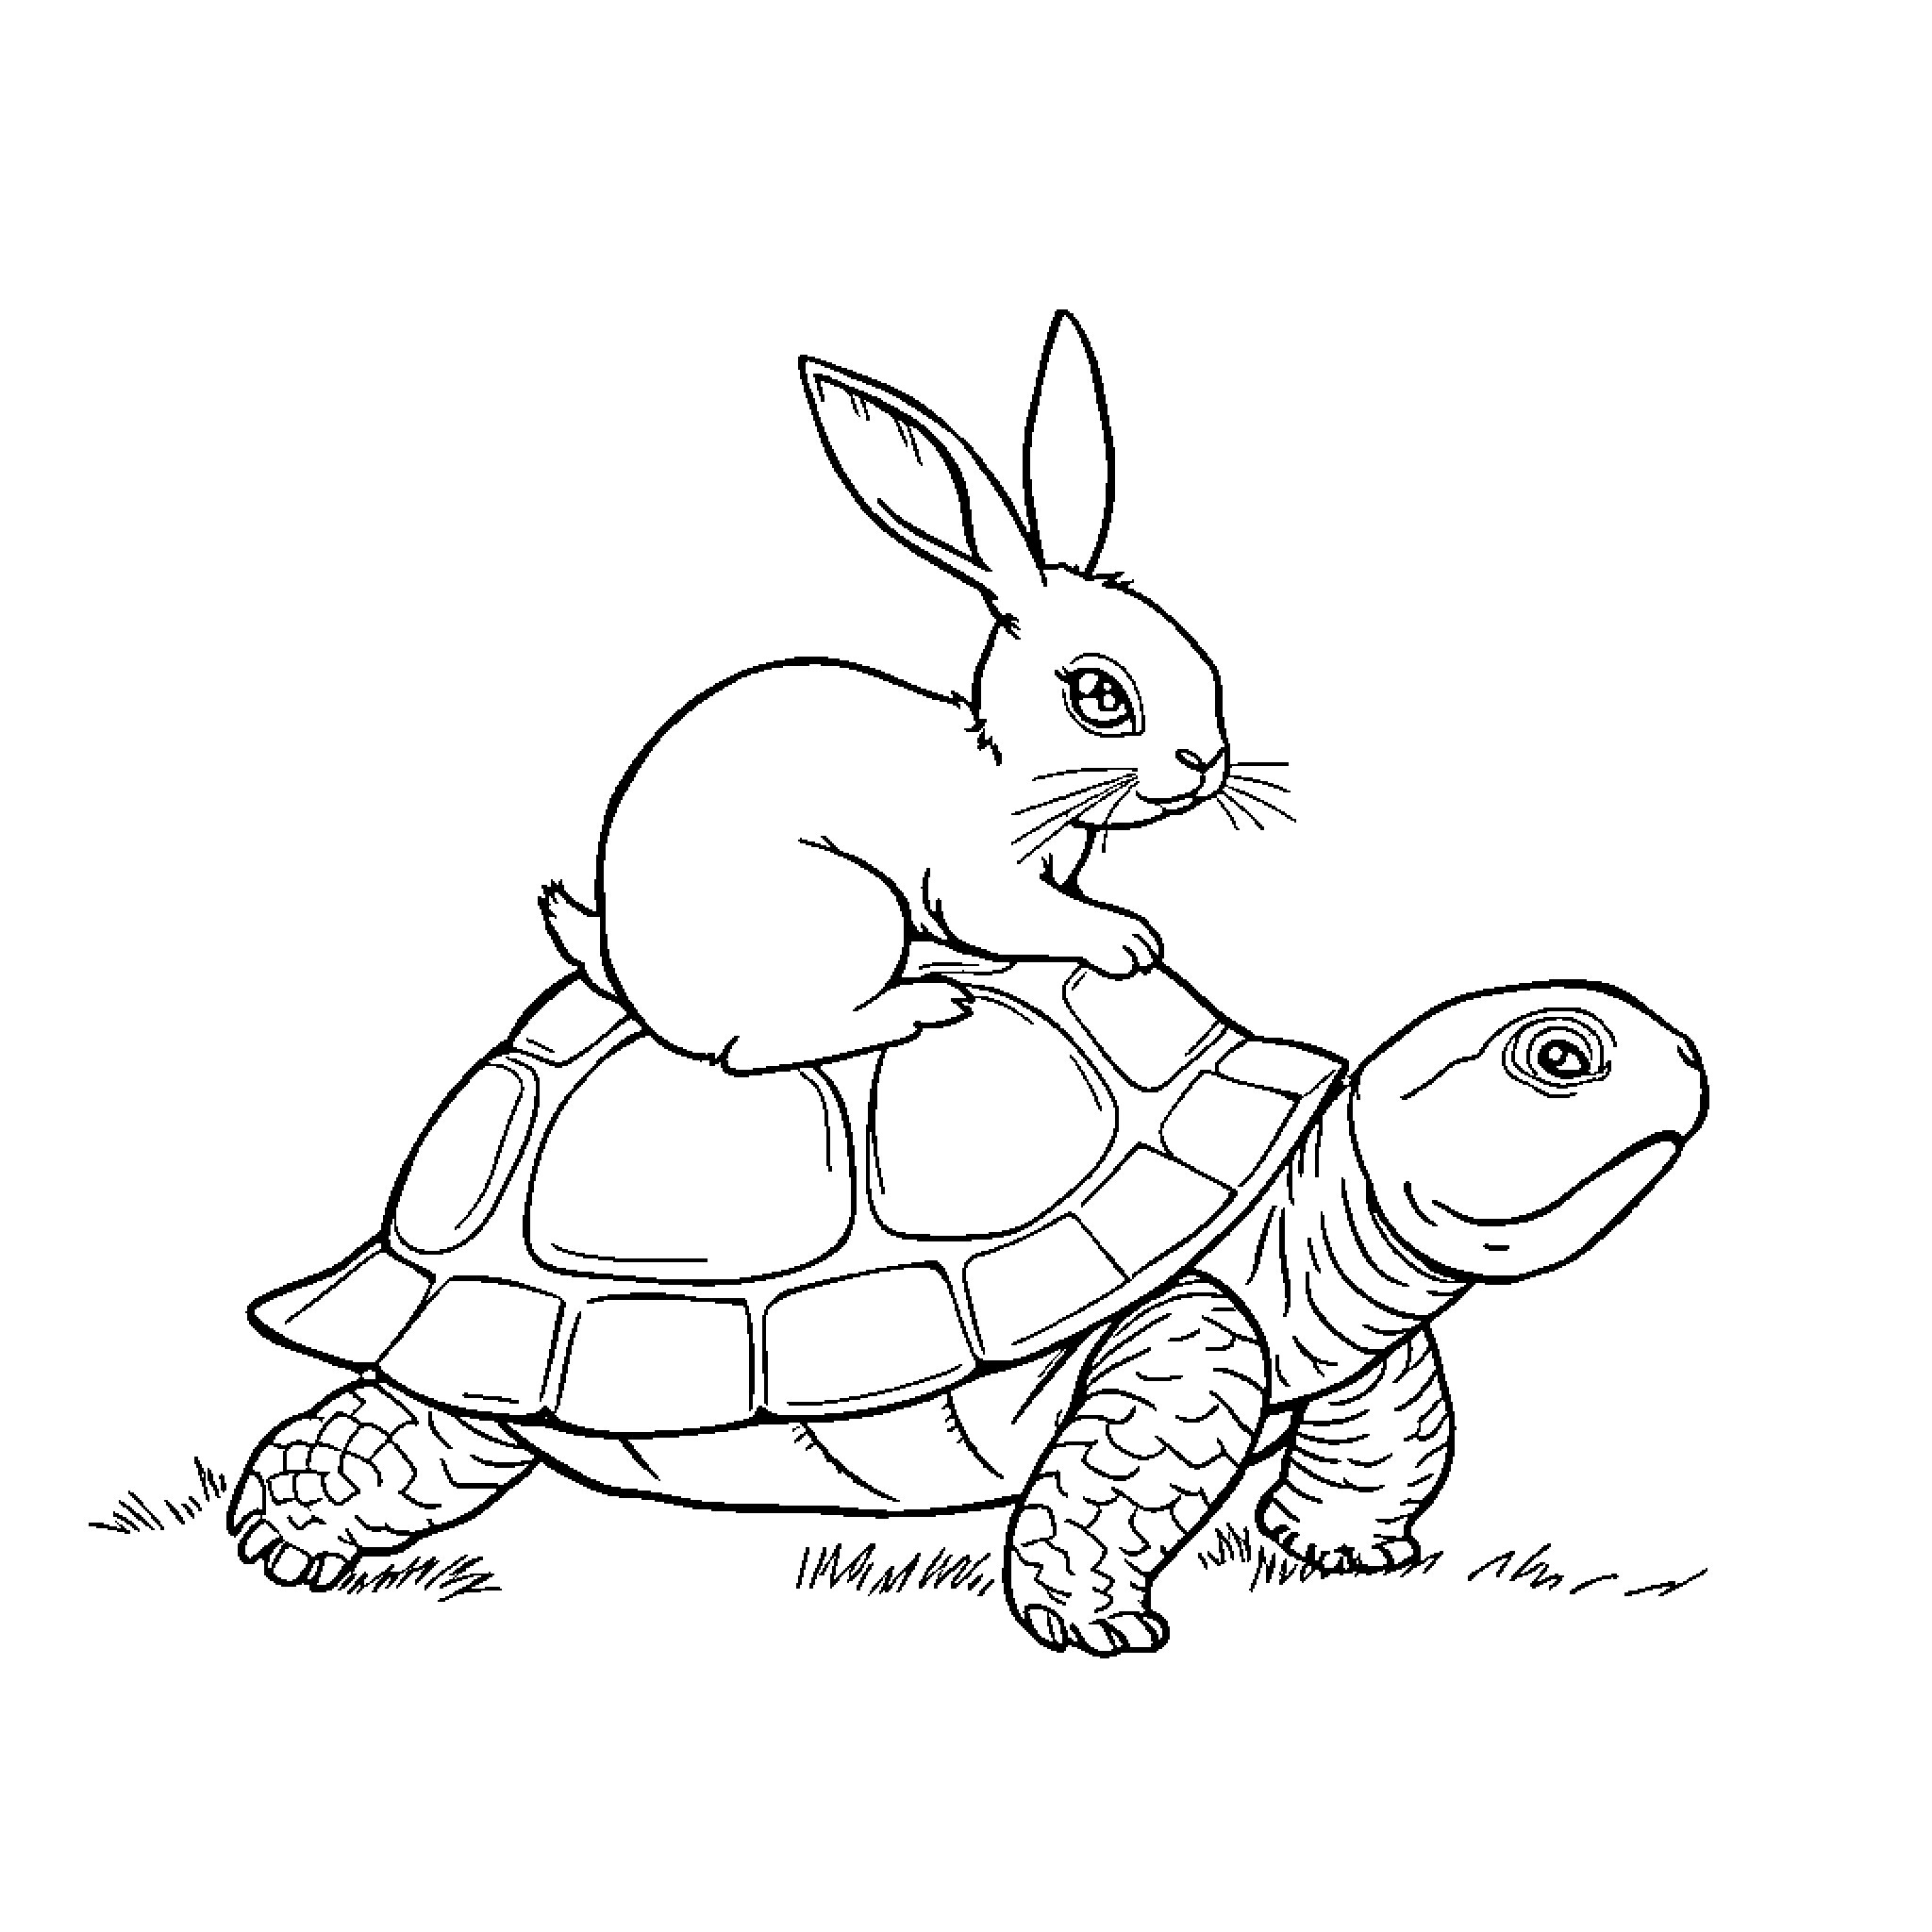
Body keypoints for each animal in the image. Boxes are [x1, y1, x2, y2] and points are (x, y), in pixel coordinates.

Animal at [542, 311, 1233, 1075]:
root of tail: (631, 981)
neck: (1008, 771)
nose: (1208, 762)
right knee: (750, 1050)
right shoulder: (979, 882)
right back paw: (920, 1005)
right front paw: (1129, 941)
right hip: (852, 909)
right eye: (1099, 695)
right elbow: (1025, 917)